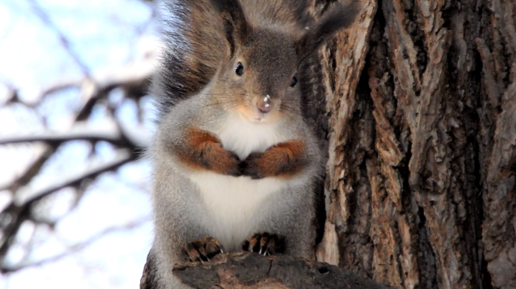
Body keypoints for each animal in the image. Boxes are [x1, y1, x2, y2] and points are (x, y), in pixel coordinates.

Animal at [143, 1, 356, 286]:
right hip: (178, 213)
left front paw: (261, 164)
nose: (264, 104)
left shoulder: (302, 140)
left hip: (286, 214)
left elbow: (299, 159)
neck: (249, 124)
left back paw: (267, 240)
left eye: (294, 79)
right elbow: (184, 145)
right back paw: (198, 246)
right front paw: (224, 161)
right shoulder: (183, 122)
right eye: (239, 68)